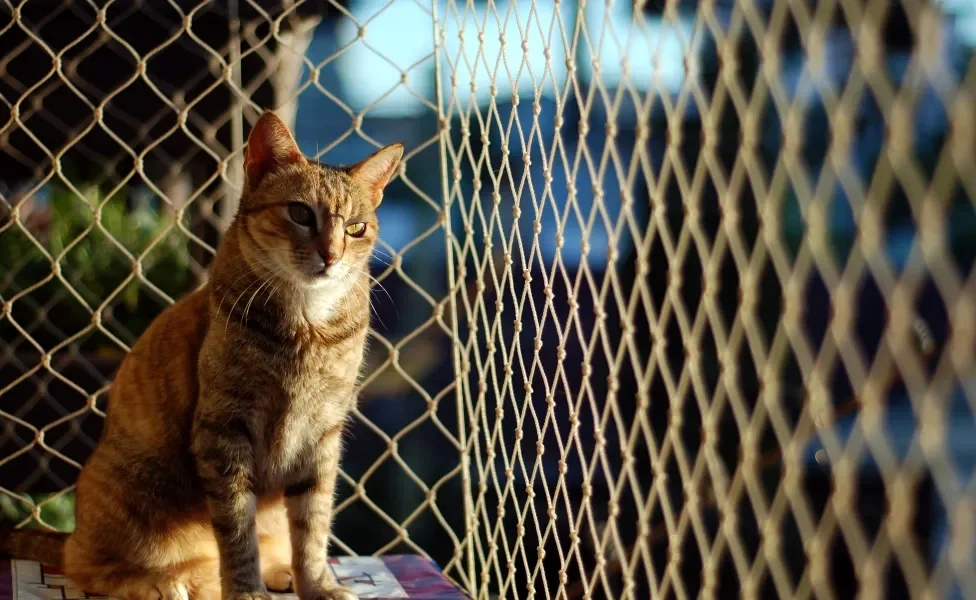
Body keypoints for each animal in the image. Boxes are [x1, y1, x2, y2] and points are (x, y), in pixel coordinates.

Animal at [0, 109, 404, 600]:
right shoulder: (224, 430)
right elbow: (236, 530)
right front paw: (246, 590)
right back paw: (160, 583)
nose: (331, 256)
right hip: (131, 495)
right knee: (88, 566)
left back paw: (277, 571)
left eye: (355, 228)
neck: (307, 326)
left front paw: (317, 585)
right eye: (300, 213)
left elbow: (312, 528)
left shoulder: (322, 436)